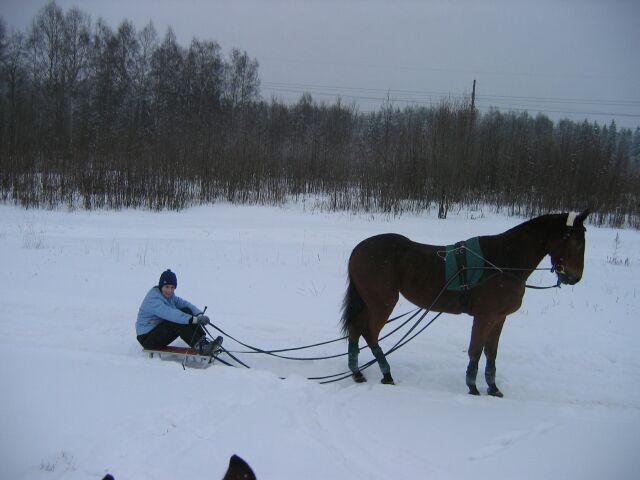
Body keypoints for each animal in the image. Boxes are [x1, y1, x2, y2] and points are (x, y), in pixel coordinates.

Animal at [340, 208, 592, 396]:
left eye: (583, 240)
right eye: (571, 239)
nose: (574, 277)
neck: (503, 261)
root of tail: (358, 250)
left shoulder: (499, 318)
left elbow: (491, 353)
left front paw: (493, 387)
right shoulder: (484, 317)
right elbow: (476, 351)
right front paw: (472, 387)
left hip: (370, 303)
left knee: (356, 329)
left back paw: (356, 371)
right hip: (382, 303)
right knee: (370, 333)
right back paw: (386, 374)